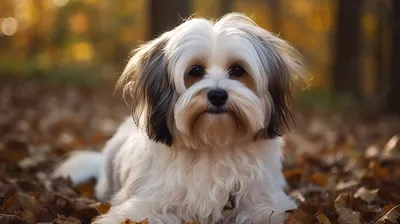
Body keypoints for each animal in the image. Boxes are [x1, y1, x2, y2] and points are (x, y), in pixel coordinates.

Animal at [52, 12, 304, 224]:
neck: (213, 144)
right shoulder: (147, 203)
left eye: (237, 70)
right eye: (195, 71)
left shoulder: (266, 203)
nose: (217, 95)